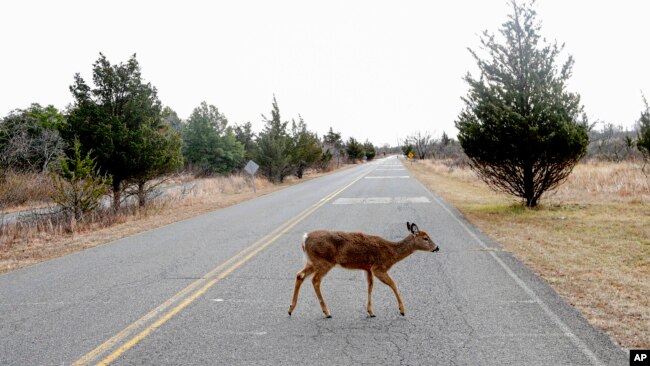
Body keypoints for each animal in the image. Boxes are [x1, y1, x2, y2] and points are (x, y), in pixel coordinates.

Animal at [288, 222, 436, 318]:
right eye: (425, 238)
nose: (437, 247)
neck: (391, 253)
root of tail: (304, 239)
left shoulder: (368, 268)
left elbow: (370, 286)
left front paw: (370, 311)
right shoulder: (378, 267)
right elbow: (394, 284)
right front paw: (402, 310)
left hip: (313, 262)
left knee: (300, 275)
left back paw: (291, 309)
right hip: (324, 262)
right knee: (315, 280)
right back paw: (327, 312)